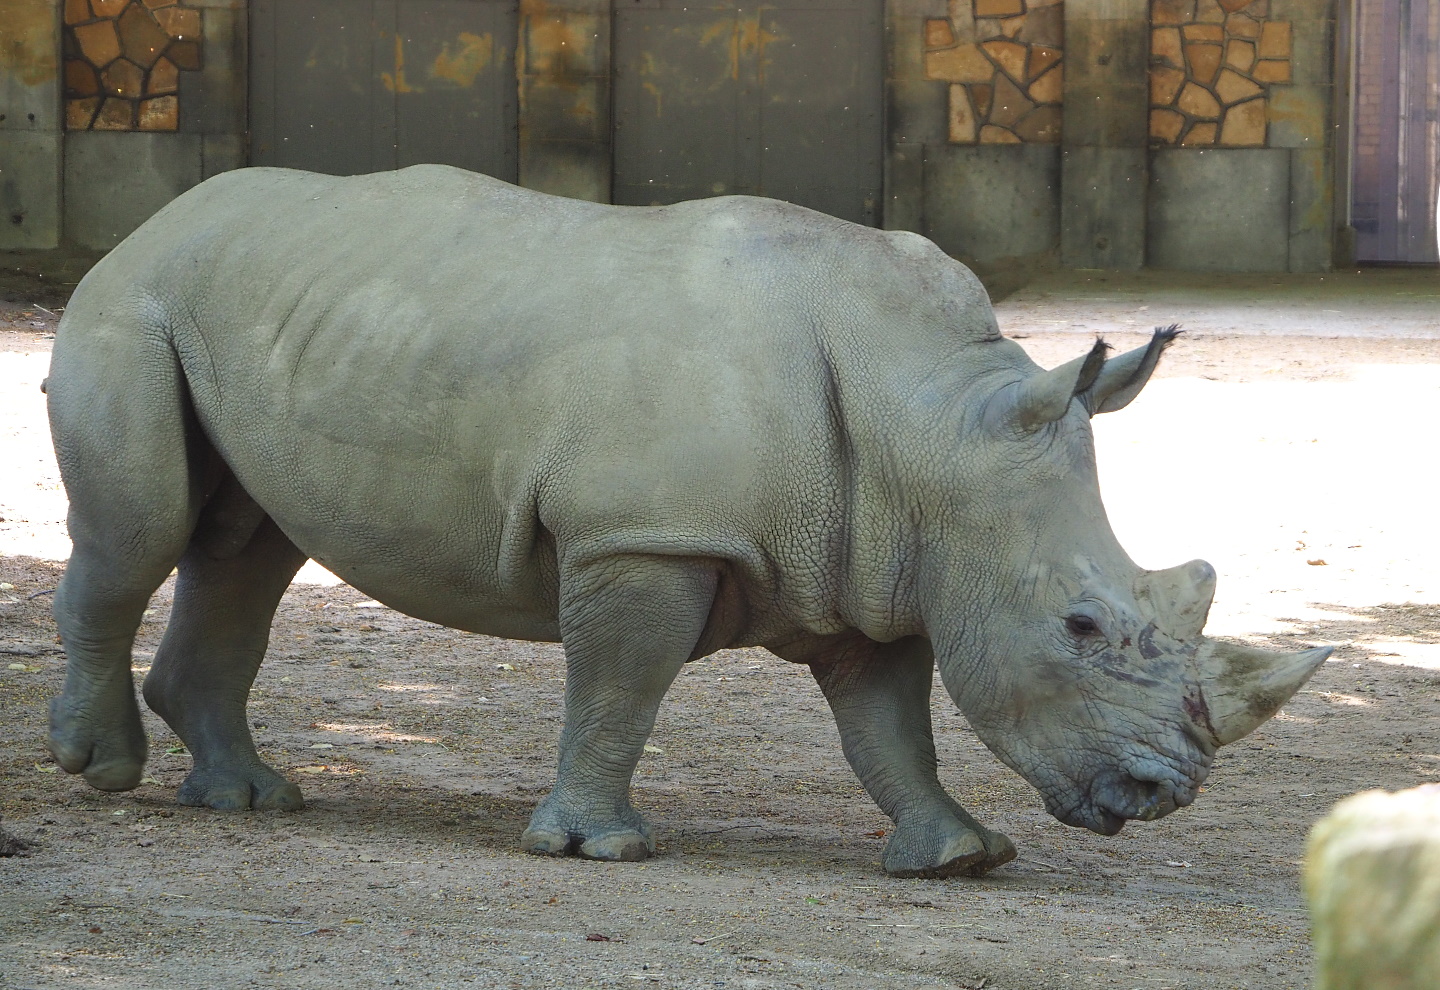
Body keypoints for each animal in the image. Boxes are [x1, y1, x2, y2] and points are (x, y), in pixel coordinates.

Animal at [44, 165, 1329, 877]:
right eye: (1079, 627)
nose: (1166, 794)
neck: (931, 425)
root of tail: (152, 221)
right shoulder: (646, 533)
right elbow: (623, 686)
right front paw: (596, 850)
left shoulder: (880, 557)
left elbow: (888, 723)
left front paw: (960, 858)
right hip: (132, 305)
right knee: (144, 533)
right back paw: (101, 769)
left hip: (262, 309)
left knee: (247, 548)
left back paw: (250, 799)